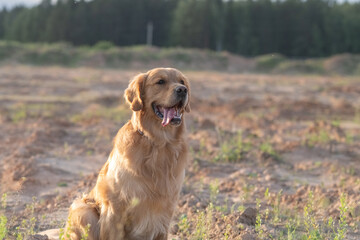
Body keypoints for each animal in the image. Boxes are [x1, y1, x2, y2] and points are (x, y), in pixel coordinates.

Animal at [65, 68, 191, 240]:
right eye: (160, 82)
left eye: (182, 82)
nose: (183, 90)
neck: (159, 143)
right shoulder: (115, 210)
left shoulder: (165, 212)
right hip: (83, 208)